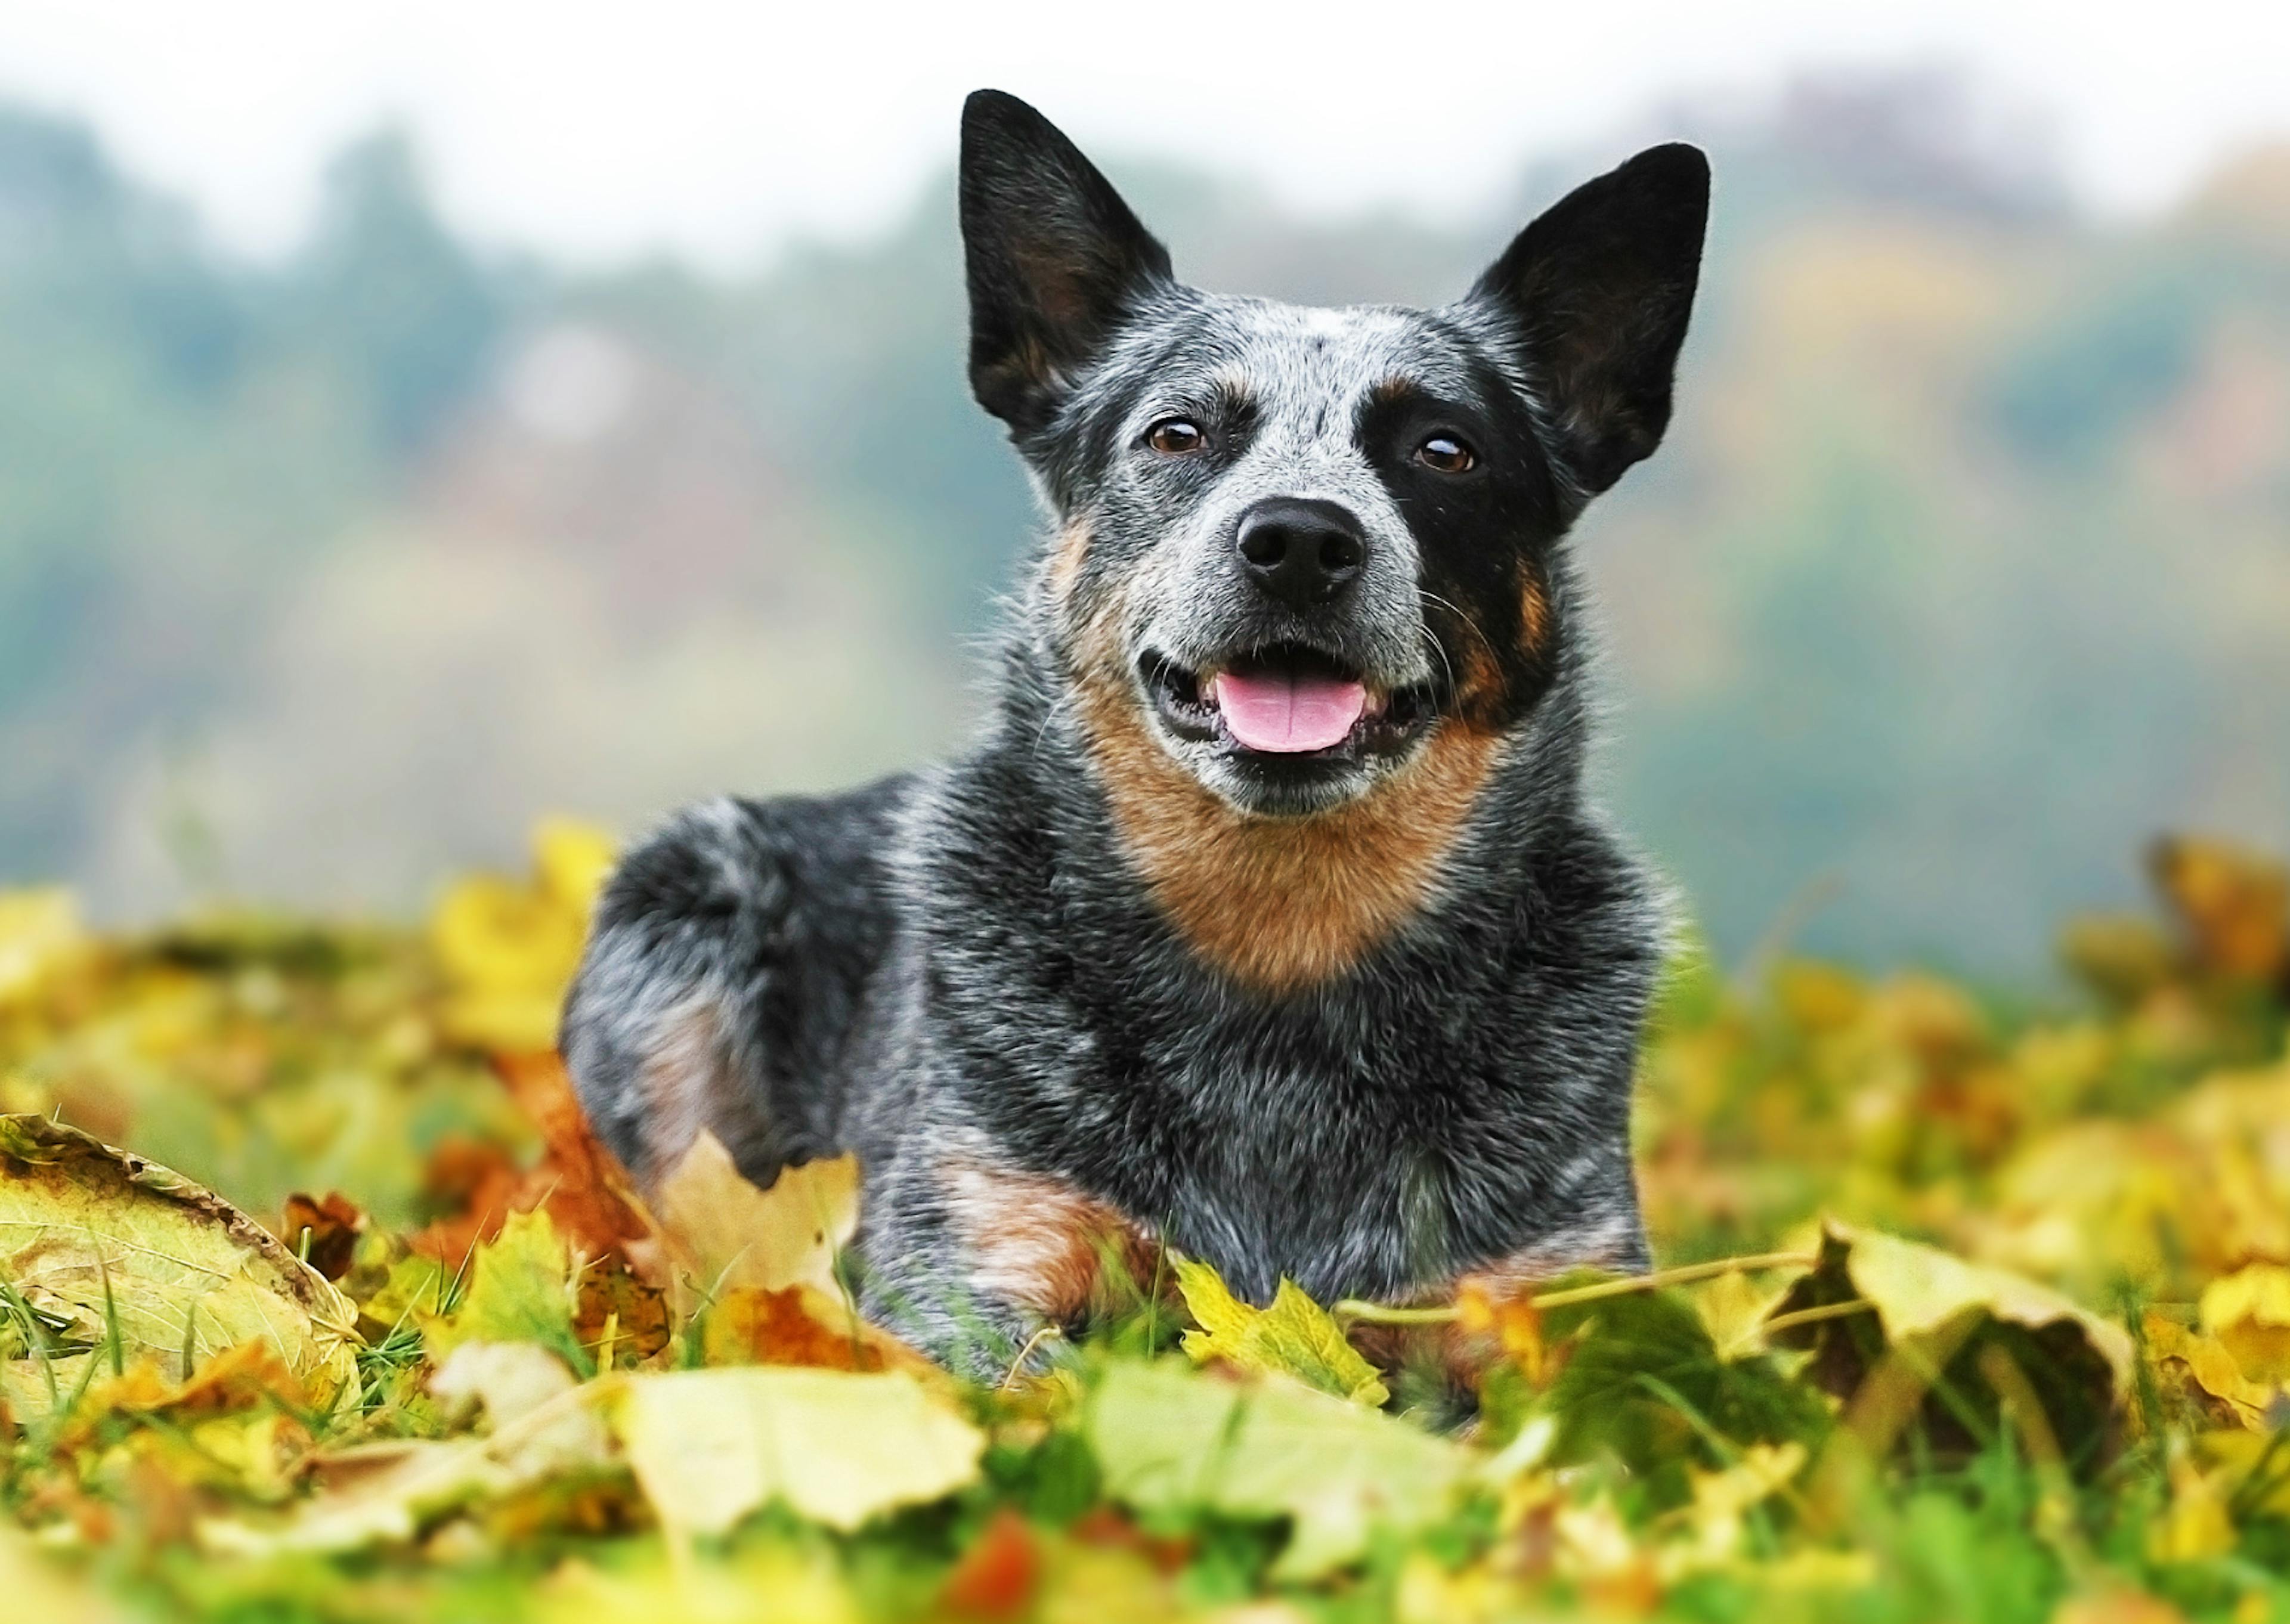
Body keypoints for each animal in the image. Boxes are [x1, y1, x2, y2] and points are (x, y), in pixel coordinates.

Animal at [563, 82, 1713, 1365]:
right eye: (1178, 433)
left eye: (1444, 449)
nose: (1300, 539)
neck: (1283, 960)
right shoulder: (971, 1267)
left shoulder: (1556, 1298)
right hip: (680, 907)